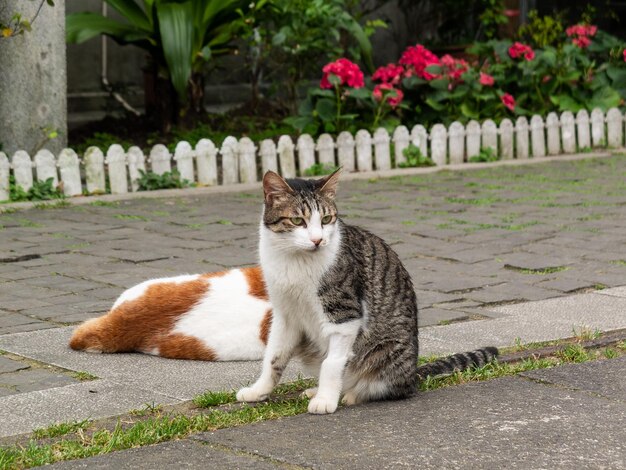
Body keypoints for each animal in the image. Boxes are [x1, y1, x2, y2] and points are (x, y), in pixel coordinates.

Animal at [234, 171, 498, 414]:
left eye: (327, 219)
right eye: (298, 221)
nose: (318, 240)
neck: (294, 261)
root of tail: (413, 374)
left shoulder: (344, 312)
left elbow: (332, 363)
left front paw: (325, 400)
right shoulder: (285, 314)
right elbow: (274, 357)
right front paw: (259, 391)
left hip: (385, 353)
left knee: (384, 386)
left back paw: (349, 394)